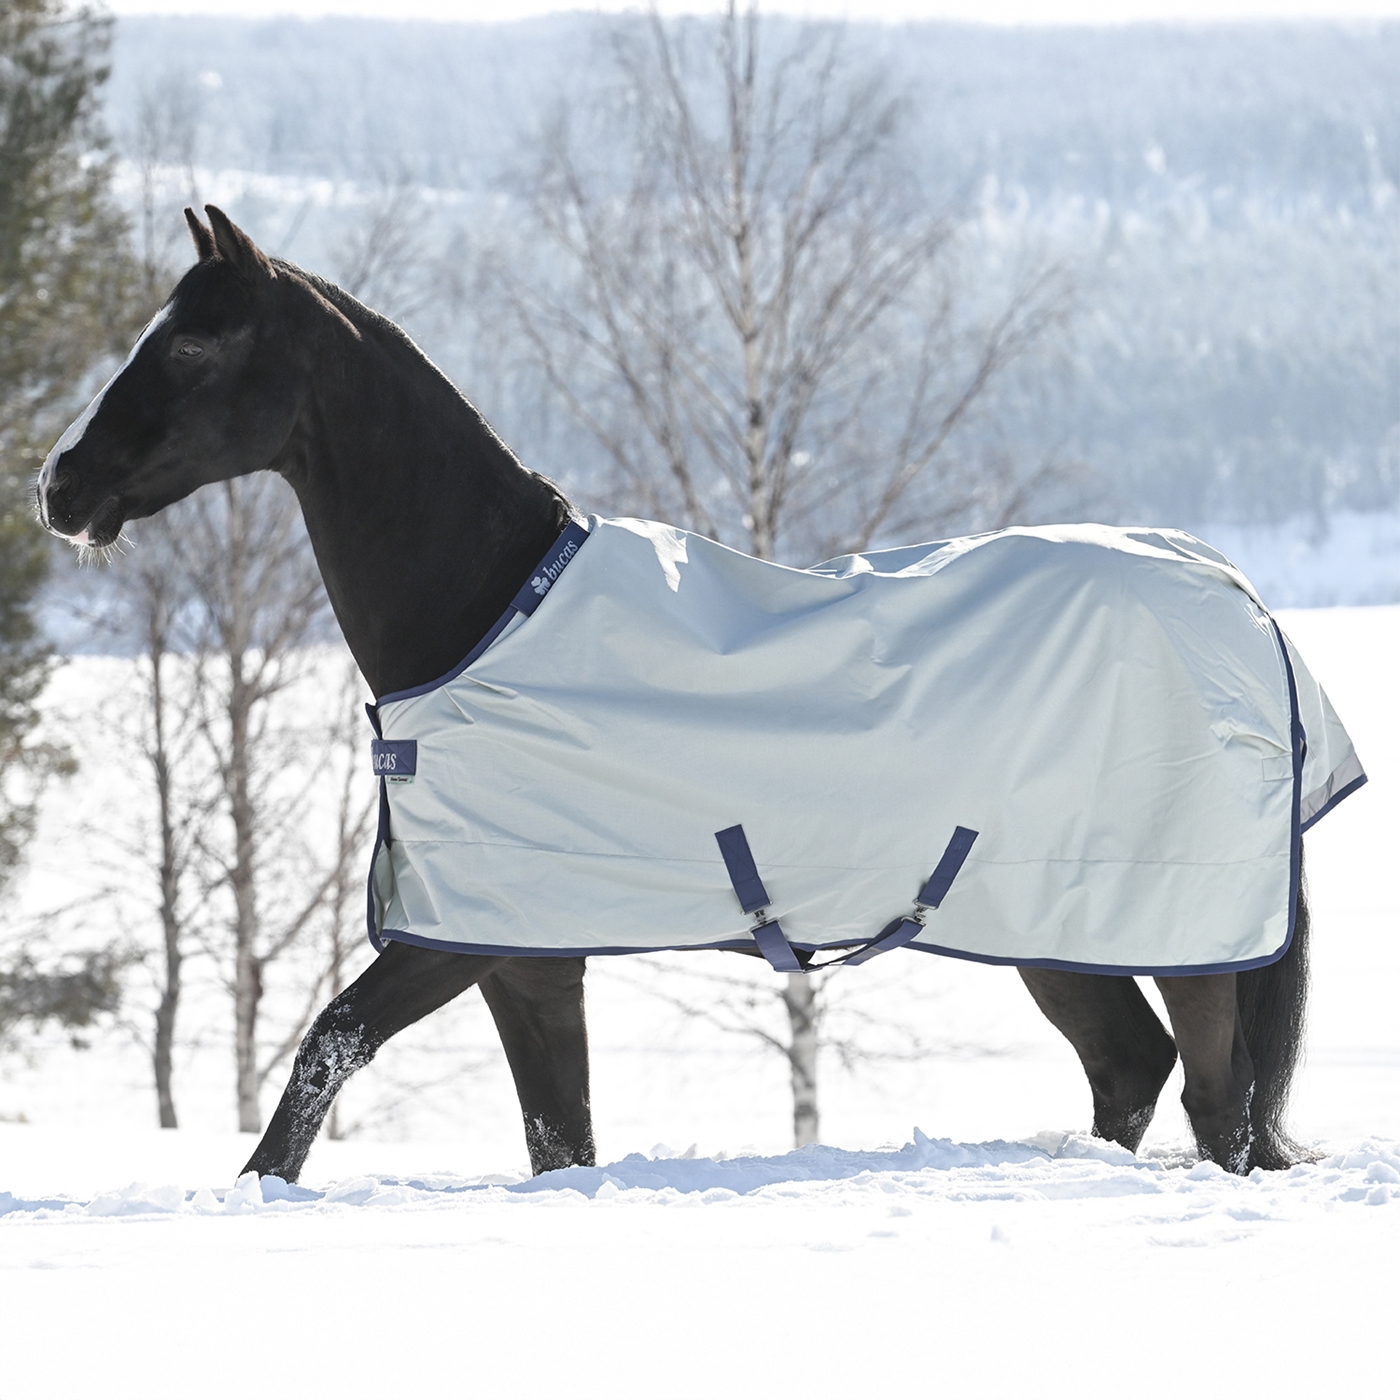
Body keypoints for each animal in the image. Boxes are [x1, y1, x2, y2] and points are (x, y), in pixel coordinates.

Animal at [38, 206, 1322, 1179]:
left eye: (193, 348)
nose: (61, 484)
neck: (485, 608)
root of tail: (1236, 599)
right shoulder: (522, 956)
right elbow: (556, 1135)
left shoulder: (458, 937)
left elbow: (325, 1046)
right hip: (1053, 925)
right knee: (1131, 1068)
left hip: (1165, 930)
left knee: (1208, 1096)